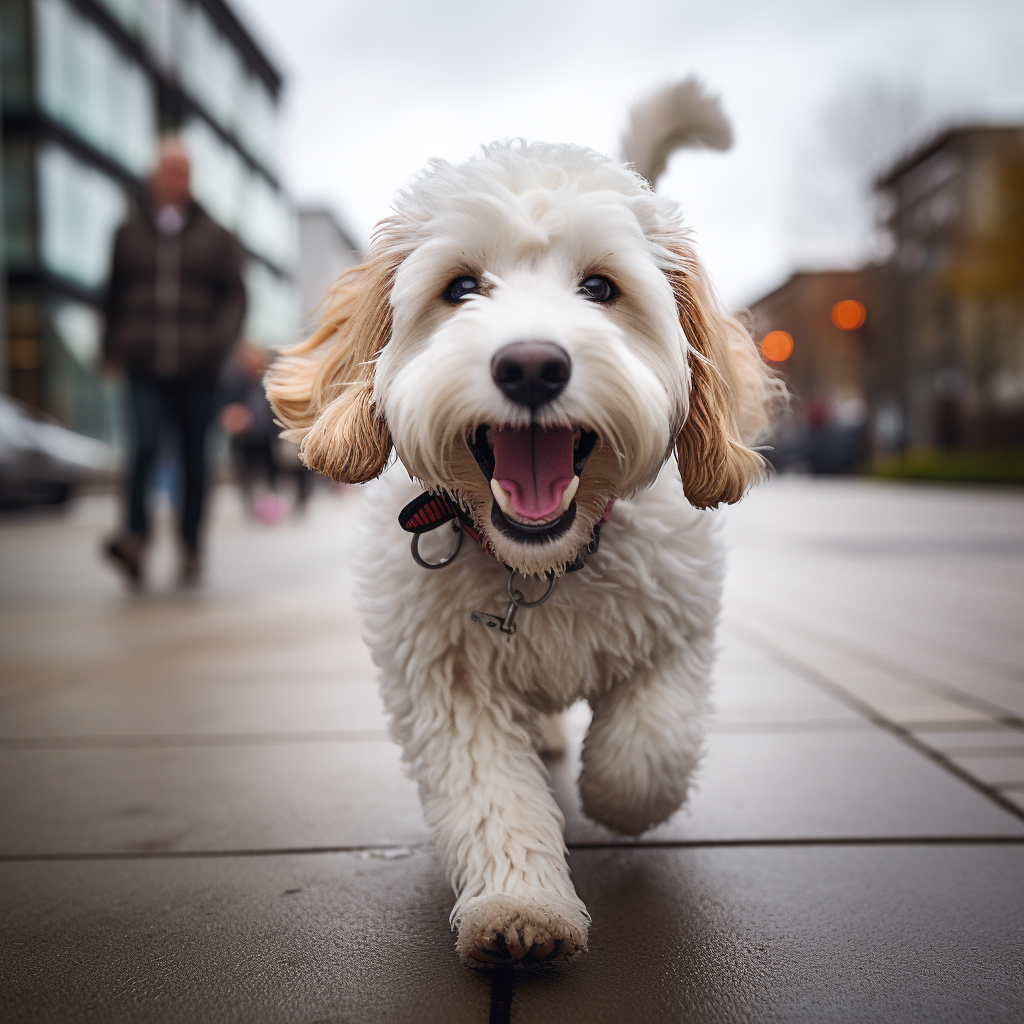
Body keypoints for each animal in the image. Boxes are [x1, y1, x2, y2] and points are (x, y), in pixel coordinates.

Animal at [268, 86, 778, 966]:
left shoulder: (680, 623)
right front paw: (520, 908)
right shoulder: (447, 685)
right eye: (462, 288)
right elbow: (492, 797)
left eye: (601, 288)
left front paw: (611, 797)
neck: (539, 566)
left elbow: (647, 754)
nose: (532, 365)